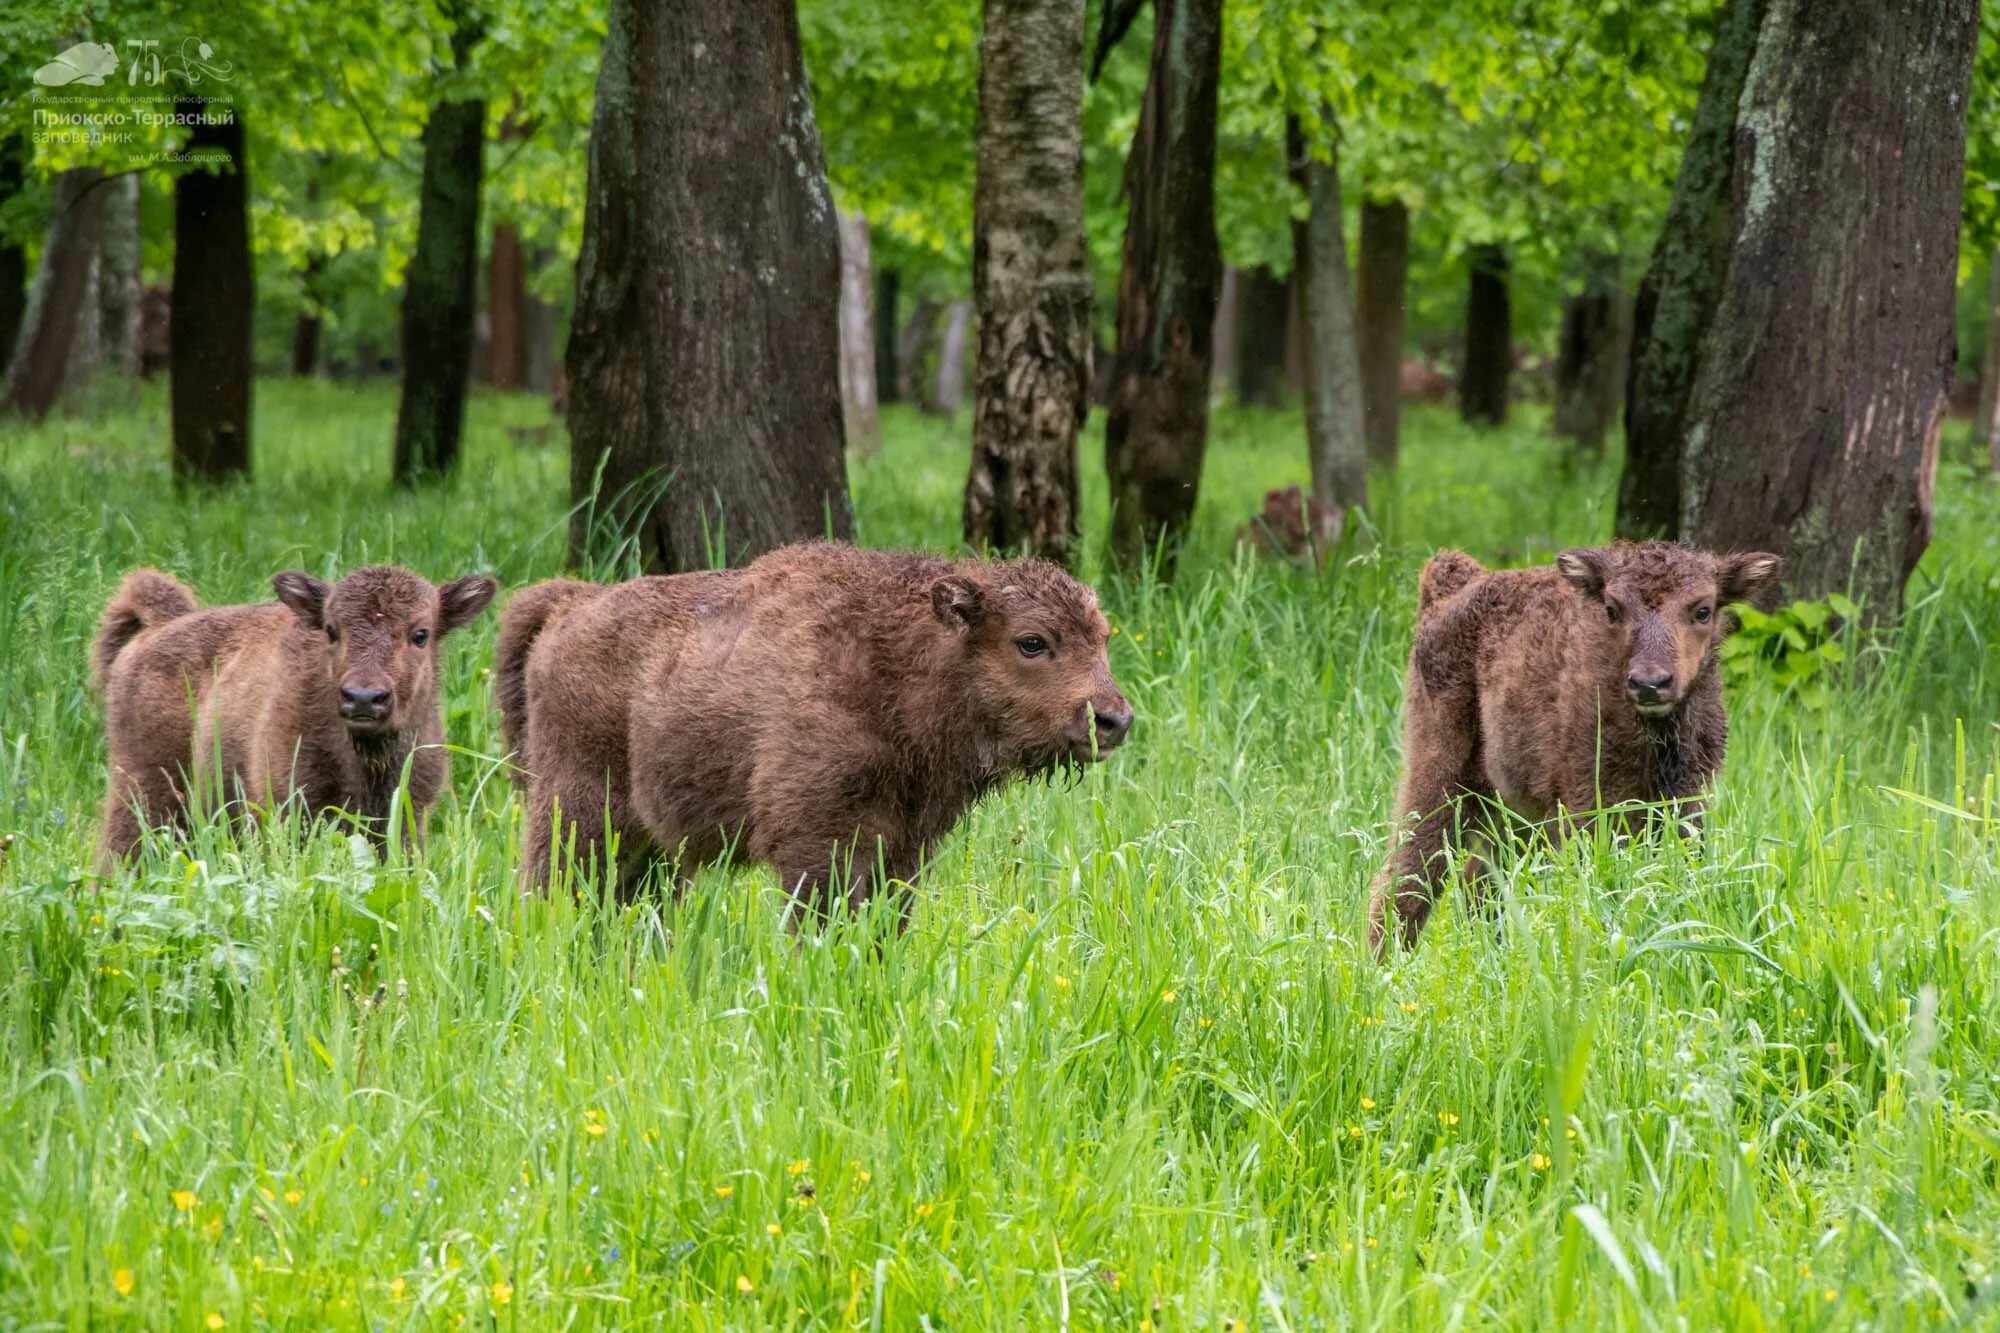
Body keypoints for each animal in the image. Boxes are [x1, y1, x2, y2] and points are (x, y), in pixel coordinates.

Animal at [91, 564, 500, 860]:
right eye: (332, 630)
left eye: (421, 634)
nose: (363, 698)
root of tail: (160, 626)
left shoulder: (407, 817)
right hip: (144, 792)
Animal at [494, 540, 1136, 924]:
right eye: (1032, 641)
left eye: (1103, 637)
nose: (1114, 719)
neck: (891, 658)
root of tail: (570, 606)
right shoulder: (816, 840)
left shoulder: (905, 845)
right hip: (578, 808)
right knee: (551, 882)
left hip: (650, 845)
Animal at [1376, 544, 1784, 956]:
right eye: (1612, 609)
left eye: (1702, 610)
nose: (1649, 683)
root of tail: (1453, 588)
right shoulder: (1590, 811)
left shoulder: (1686, 806)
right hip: (1439, 775)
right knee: (1404, 879)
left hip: (1511, 810)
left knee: (1479, 880)